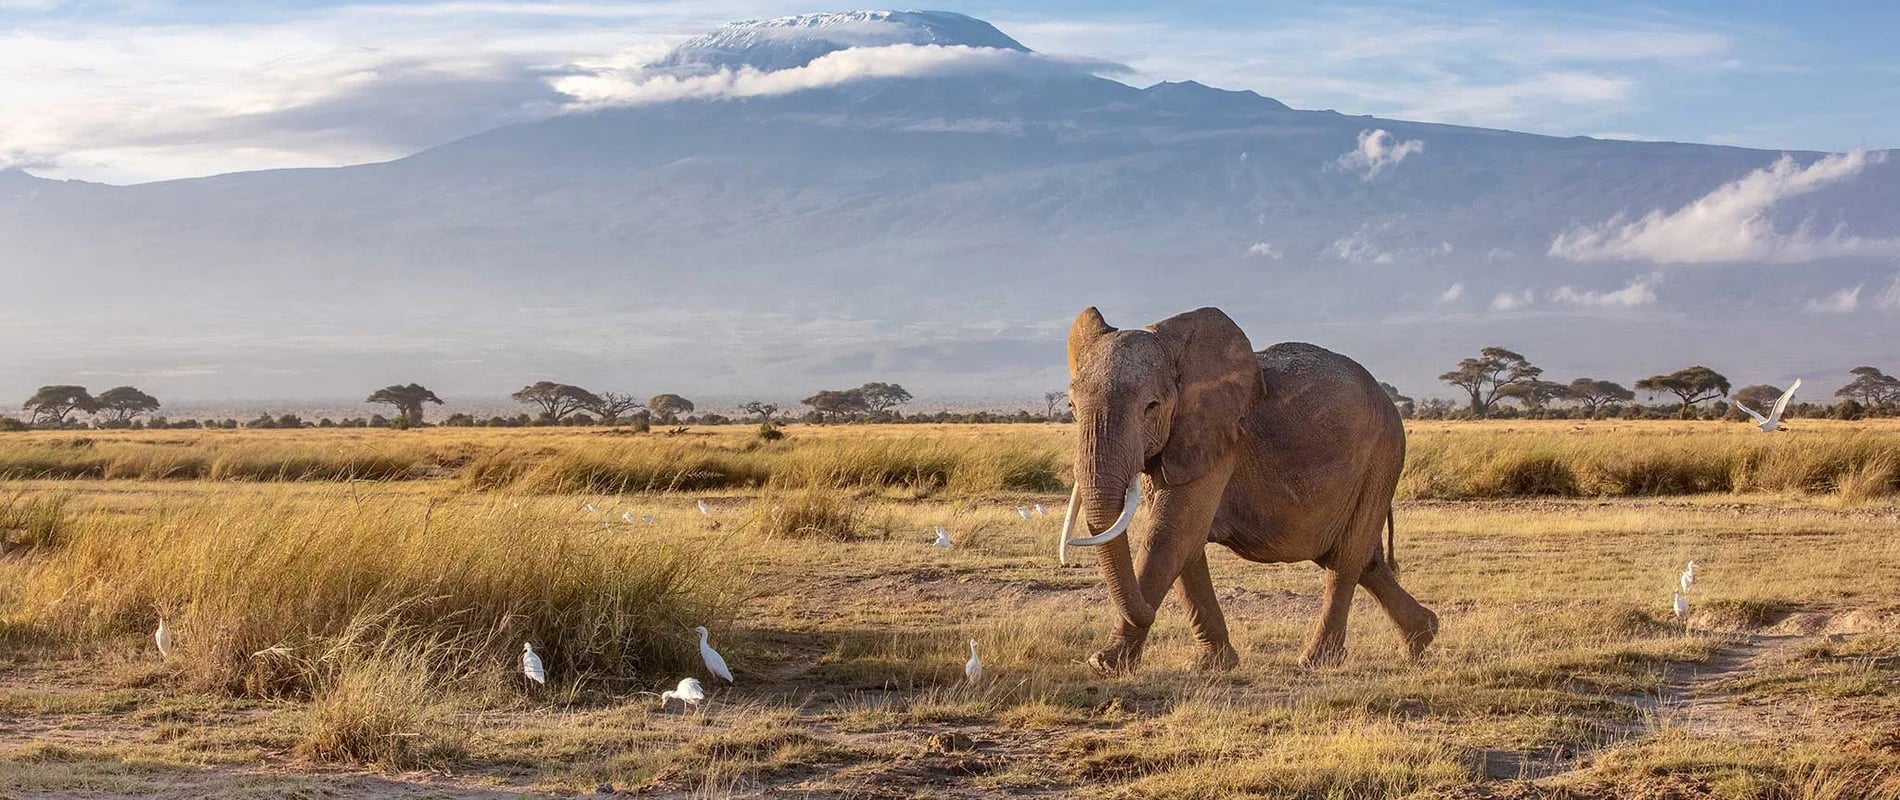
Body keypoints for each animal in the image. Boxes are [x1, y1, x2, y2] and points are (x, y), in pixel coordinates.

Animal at [1058, 305, 1438, 673]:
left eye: (1151, 407)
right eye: (1072, 407)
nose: (1149, 613)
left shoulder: (1220, 438)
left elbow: (1171, 536)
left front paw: (1103, 664)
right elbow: (1187, 545)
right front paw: (1211, 664)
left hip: (1382, 457)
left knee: (1345, 559)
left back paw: (1316, 660)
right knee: (1362, 560)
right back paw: (1423, 636)